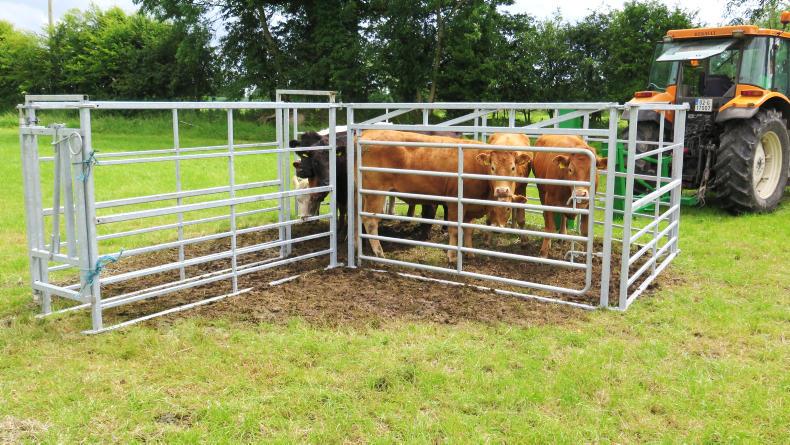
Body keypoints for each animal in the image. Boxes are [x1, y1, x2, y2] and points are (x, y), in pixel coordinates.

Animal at [357, 129, 530, 263]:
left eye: (513, 167)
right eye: (492, 167)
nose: (502, 191)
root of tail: (366, 134)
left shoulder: (469, 207)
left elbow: (468, 230)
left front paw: (469, 253)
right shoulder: (455, 204)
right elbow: (455, 230)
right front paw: (452, 257)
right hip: (375, 193)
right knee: (370, 220)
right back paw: (379, 253)